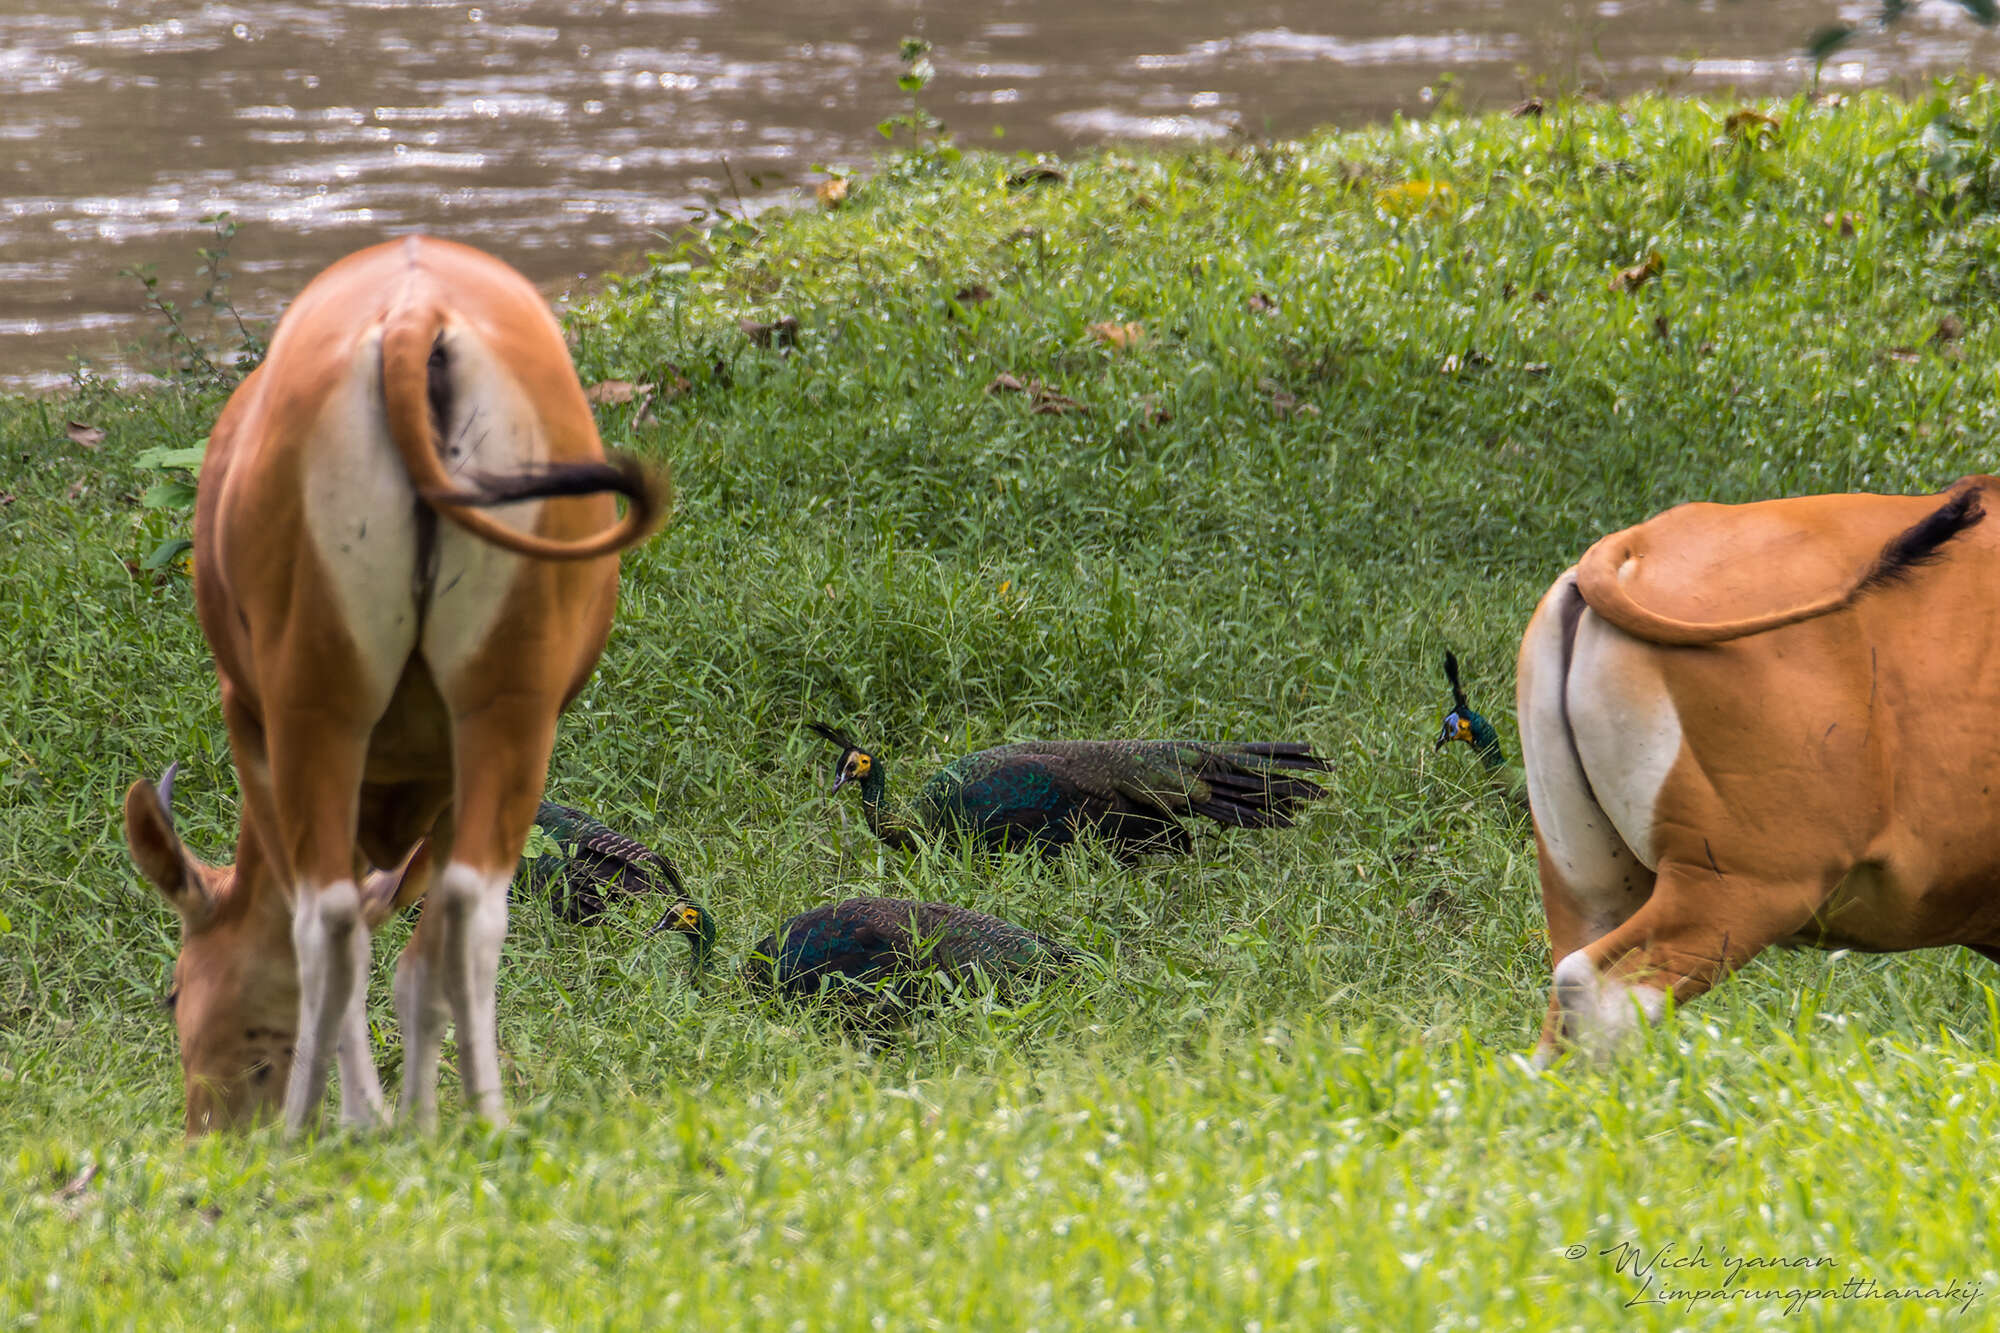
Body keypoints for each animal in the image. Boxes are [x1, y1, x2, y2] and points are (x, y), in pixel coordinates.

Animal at [125, 239, 672, 1128]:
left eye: (173, 993)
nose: (206, 1130)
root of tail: (416, 317)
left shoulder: (252, 724)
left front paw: (365, 1117)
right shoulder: (444, 774)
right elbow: (423, 956)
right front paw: (416, 1122)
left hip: (318, 705)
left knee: (328, 923)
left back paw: (337, 1125)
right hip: (510, 705)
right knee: (475, 912)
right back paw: (485, 1121)